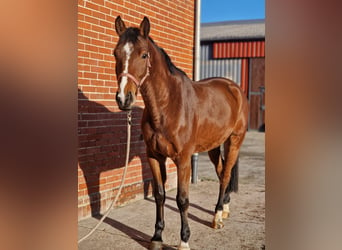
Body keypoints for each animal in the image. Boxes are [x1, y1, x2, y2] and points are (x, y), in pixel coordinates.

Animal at [113, 16, 247, 249]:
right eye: (115, 53)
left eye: (144, 54)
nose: (124, 98)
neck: (168, 106)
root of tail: (234, 88)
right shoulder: (154, 156)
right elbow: (159, 195)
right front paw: (157, 237)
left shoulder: (183, 159)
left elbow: (182, 200)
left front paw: (184, 240)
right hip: (213, 146)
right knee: (222, 171)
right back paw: (224, 209)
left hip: (234, 141)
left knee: (225, 175)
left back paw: (217, 216)